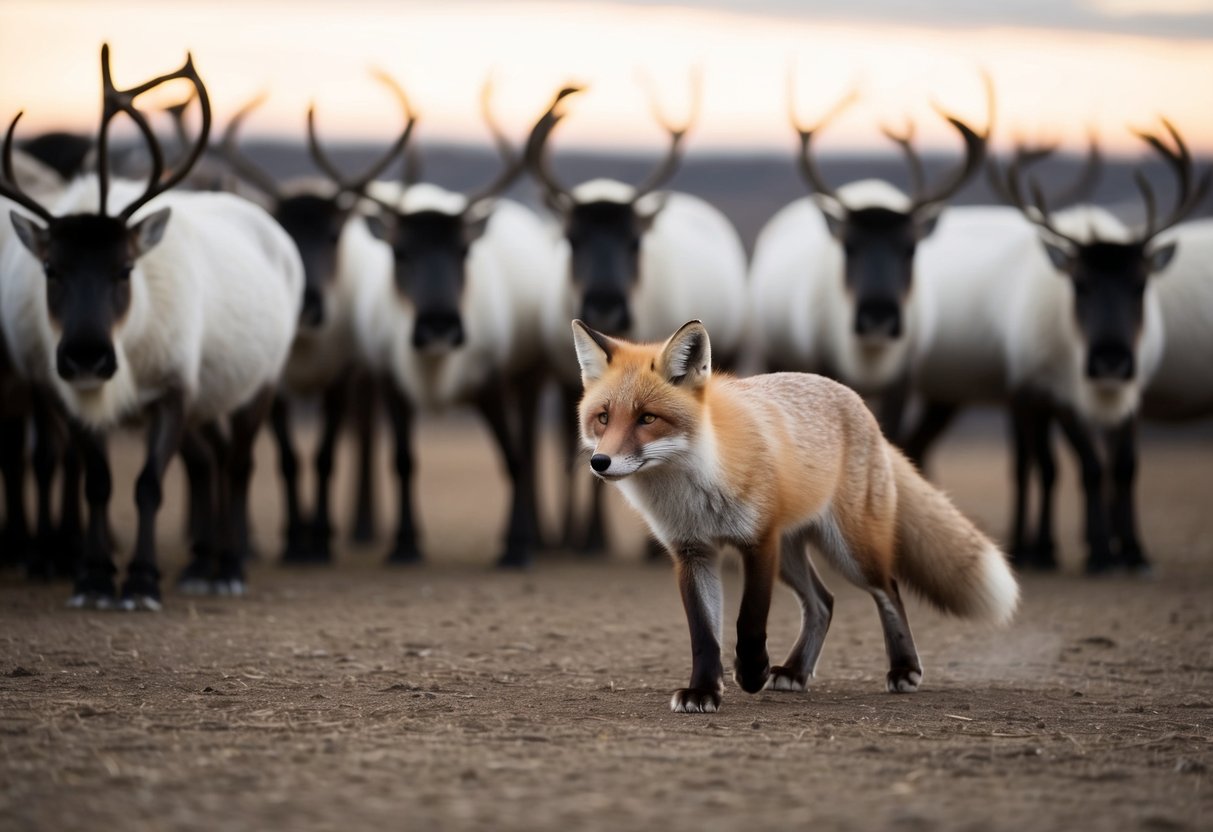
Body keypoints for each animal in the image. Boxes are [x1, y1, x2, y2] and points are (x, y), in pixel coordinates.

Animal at [0, 44, 304, 609]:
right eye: (51, 268)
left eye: (125, 268)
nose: (87, 354)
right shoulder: (68, 398)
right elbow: (97, 481)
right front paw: (95, 579)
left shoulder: (174, 391)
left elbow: (148, 484)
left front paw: (140, 580)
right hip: (206, 406)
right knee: (210, 459)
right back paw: (201, 565)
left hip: (260, 386)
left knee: (237, 464)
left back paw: (229, 567)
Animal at [524, 78, 749, 555]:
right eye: (572, 238)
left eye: (634, 241)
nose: (605, 304)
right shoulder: (567, 377)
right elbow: (573, 454)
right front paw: (576, 538)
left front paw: (599, 538)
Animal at [572, 319, 1019, 713]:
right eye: (603, 417)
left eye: (647, 418)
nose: (600, 462)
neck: (695, 484)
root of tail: (858, 404)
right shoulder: (692, 552)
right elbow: (704, 635)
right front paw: (703, 692)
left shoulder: (758, 541)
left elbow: (750, 620)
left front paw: (752, 672)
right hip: (790, 557)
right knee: (823, 603)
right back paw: (796, 672)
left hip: (848, 551)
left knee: (889, 589)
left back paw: (904, 669)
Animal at [748, 77, 992, 440]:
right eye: (849, 246)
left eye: (910, 248)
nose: (878, 315)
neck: (869, 361)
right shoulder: (824, 365)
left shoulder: (902, 380)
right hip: (772, 354)